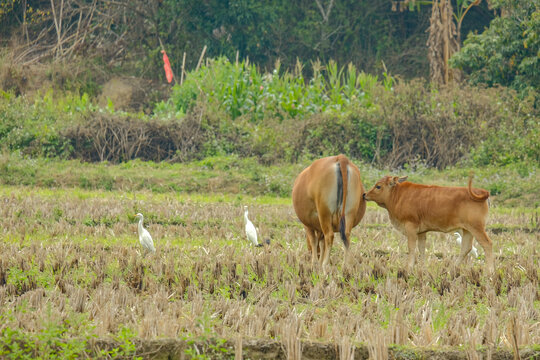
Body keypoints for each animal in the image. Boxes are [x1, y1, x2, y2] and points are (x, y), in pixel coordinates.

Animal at [362, 175, 494, 272]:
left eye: (378, 186)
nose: (364, 194)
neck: (398, 195)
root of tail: (482, 191)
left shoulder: (411, 228)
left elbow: (411, 248)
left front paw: (409, 268)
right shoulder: (421, 232)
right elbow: (422, 249)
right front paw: (423, 268)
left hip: (477, 228)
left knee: (487, 244)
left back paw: (489, 271)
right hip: (467, 229)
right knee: (466, 248)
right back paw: (452, 269)